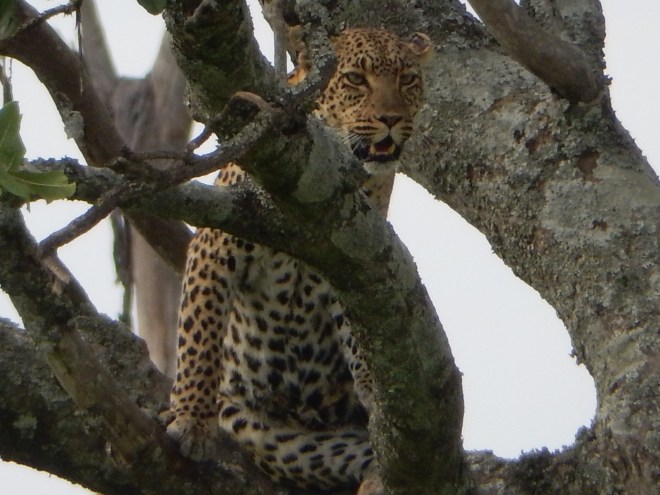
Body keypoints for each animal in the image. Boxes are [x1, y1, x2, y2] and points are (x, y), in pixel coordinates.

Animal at [167, 27, 432, 495]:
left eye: (407, 80)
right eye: (356, 79)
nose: (390, 118)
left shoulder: (358, 263)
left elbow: (362, 330)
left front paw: (371, 383)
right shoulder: (218, 241)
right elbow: (200, 336)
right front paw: (191, 420)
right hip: (269, 433)